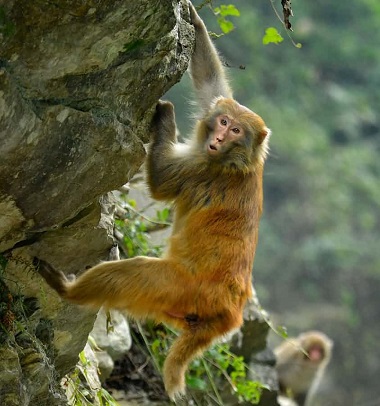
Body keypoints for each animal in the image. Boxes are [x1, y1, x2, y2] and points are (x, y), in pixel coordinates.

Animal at [36, 2, 270, 400]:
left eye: (236, 131)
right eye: (223, 121)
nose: (218, 137)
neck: (236, 161)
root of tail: (229, 315)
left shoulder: (203, 170)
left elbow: (161, 184)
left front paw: (166, 115)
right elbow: (212, 86)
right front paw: (194, 23)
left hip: (178, 288)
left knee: (133, 275)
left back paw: (69, 290)